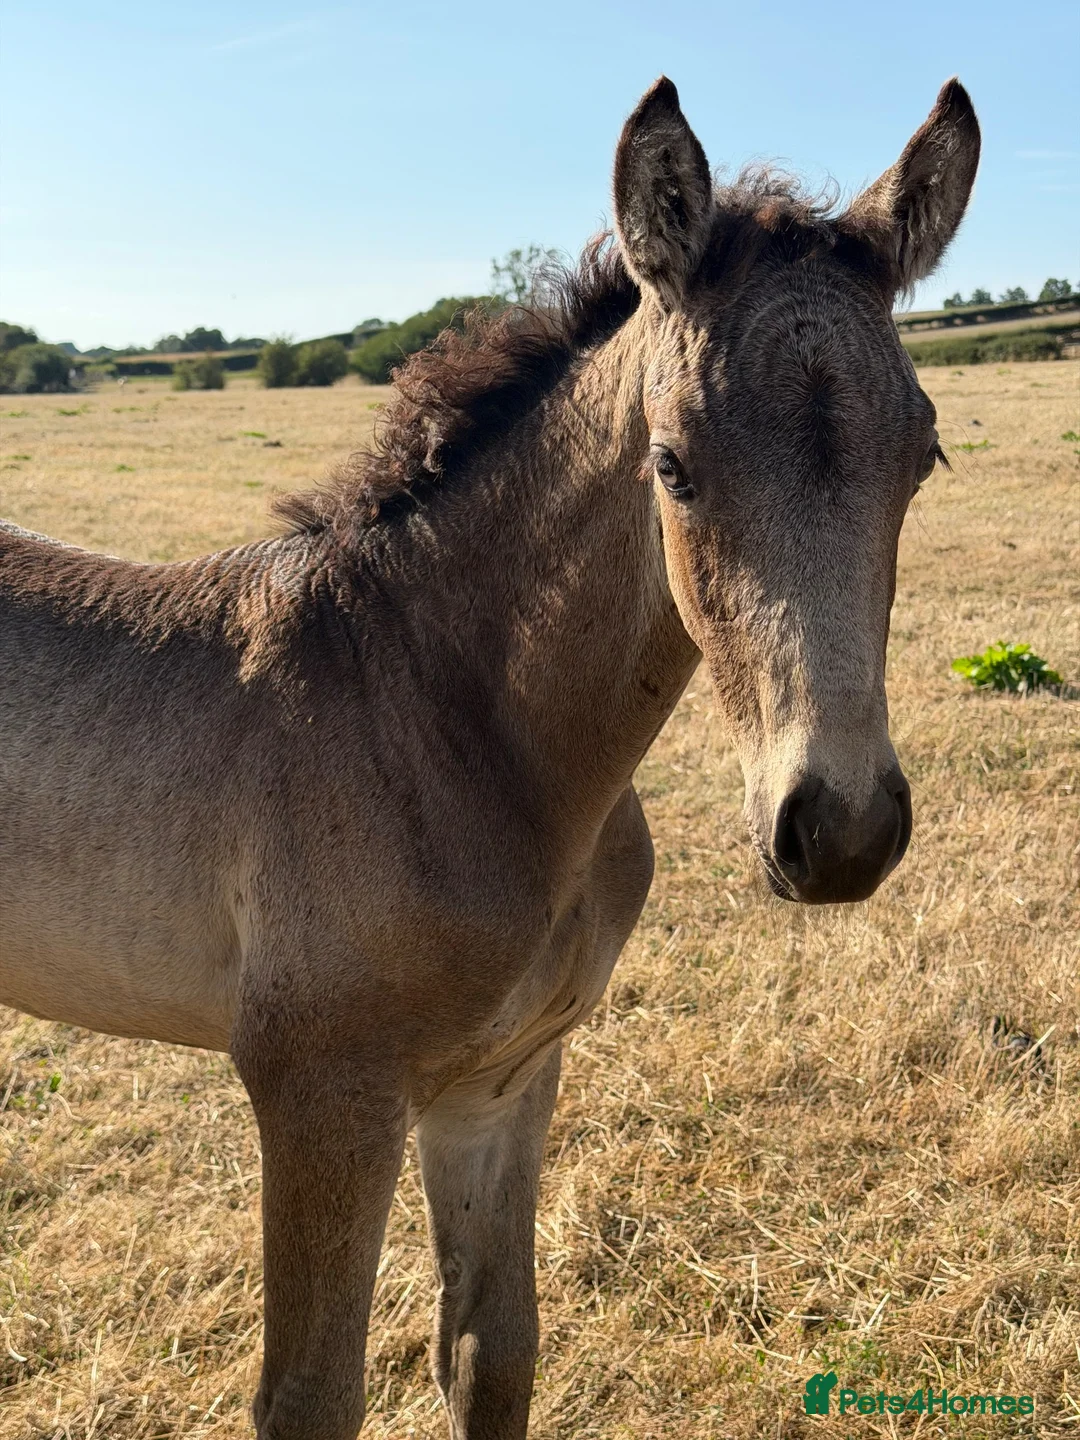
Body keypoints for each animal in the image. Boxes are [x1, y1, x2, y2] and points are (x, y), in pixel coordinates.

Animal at [0, 76, 979, 1440]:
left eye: (923, 454)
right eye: (671, 464)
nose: (838, 832)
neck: (440, 718)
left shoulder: (503, 1083)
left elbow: (489, 1351)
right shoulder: (321, 1094)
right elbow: (310, 1397)